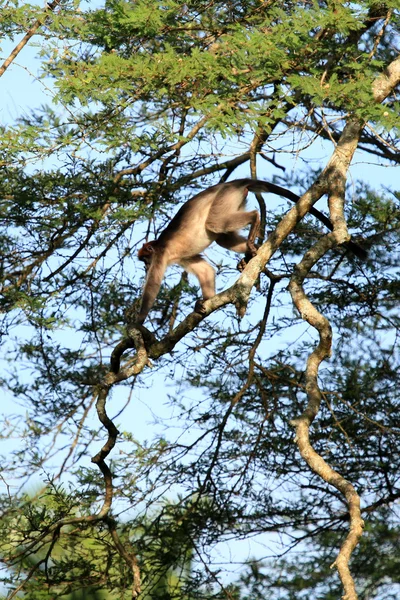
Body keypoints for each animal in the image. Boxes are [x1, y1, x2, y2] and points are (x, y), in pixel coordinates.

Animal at [136, 177, 368, 324]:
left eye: (146, 260)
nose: (145, 267)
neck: (158, 246)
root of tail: (231, 184)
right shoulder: (179, 257)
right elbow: (205, 270)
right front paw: (205, 301)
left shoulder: (161, 254)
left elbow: (153, 285)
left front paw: (138, 324)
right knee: (221, 236)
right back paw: (251, 253)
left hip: (225, 197)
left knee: (215, 224)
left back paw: (254, 223)